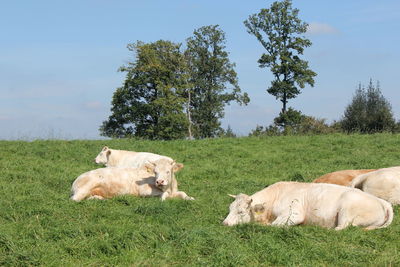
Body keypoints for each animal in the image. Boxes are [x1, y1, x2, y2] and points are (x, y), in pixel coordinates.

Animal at [223, 183, 392, 231]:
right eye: (230, 209)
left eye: (240, 212)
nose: (224, 223)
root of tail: (383, 202)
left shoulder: (294, 214)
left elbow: (275, 226)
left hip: (346, 211)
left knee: (341, 228)